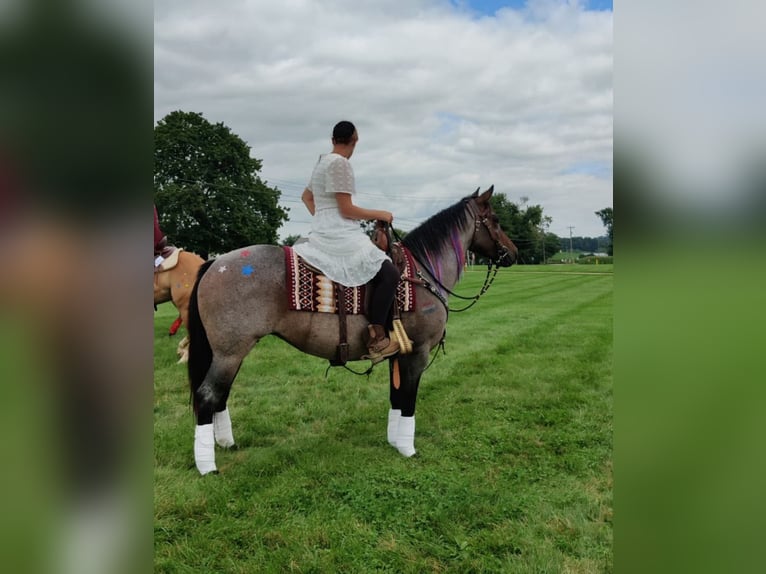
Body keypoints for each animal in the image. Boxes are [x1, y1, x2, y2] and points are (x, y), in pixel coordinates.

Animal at [186, 186, 517, 474]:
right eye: (496, 220)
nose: (513, 253)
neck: (421, 275)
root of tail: (216, 262)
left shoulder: (399, 354)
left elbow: (395, 397)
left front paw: (394, 441)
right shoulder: (417, 353)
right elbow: (408, 400)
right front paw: (408, 449)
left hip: (229, 353)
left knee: (221, 395)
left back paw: (226, 444)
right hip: (230, 352)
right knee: (207, 395)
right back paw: (207, 466)